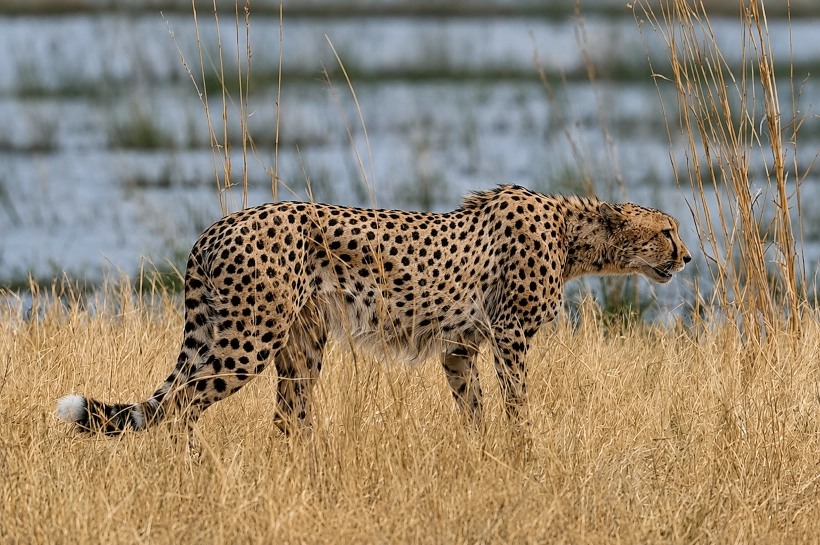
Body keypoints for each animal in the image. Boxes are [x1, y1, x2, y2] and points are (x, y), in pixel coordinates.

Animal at [56, 184, 691, 437]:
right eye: (666, 230)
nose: (687, 256)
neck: (573, 233)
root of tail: (218, 226)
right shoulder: (510, 335)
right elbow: (516, 402)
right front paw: (522, 451)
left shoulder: (460, 347)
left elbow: (475, 407)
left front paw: (487, 455)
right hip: (248, 336)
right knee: (183, 405)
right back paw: (194, 469)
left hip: (298, 342)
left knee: (286, 420)